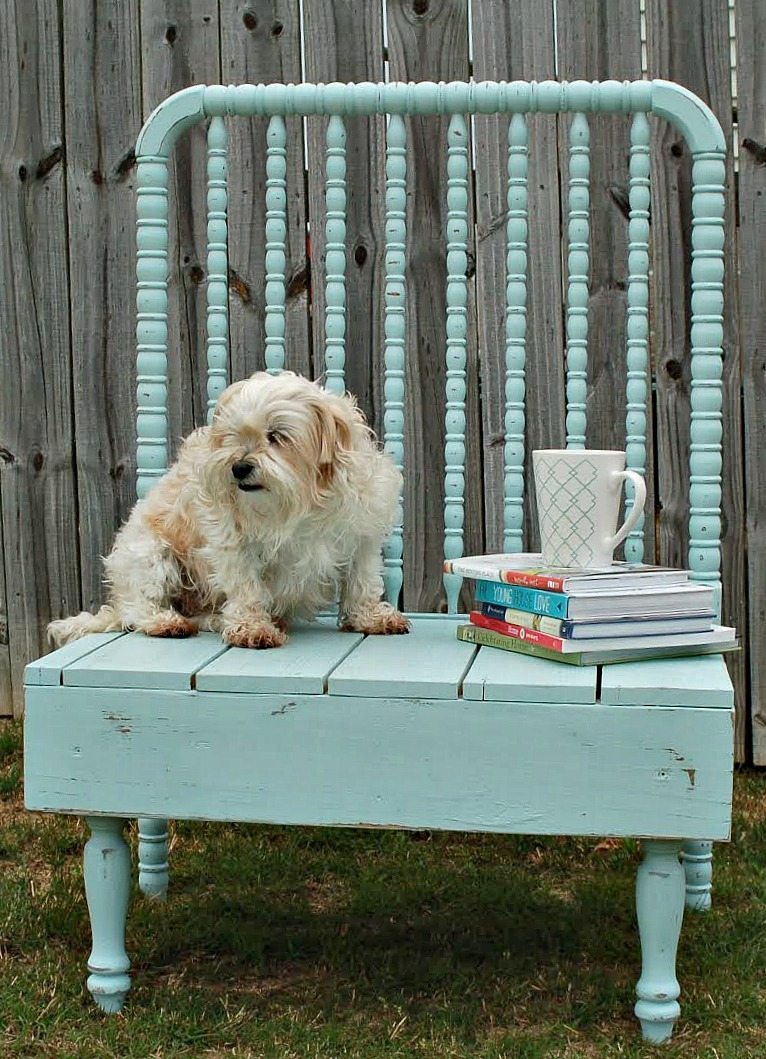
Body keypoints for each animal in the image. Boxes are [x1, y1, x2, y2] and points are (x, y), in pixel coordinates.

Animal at [48, 372, 411, 652]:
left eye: (276, 436)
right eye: (232, 437)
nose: (239, 467)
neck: (302, 500)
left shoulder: (362, 537)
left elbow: (362, 582)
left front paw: (370, 617)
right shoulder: (232, 543)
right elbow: (246, 588)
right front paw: (252, 627)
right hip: (151, 555)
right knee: (137, 607)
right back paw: (166, 621)